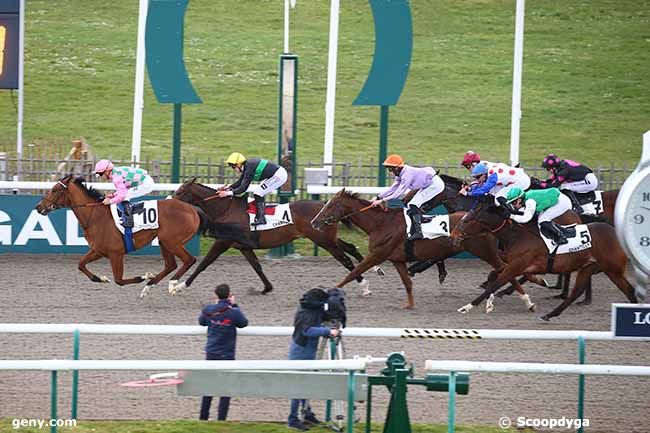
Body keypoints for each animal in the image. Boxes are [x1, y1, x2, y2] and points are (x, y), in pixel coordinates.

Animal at [34, 174, 210, 296]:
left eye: (55, 189)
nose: (38, 207)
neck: (95, 216)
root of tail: (192, 209)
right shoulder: (98, 251)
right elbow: (81, 264)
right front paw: (101, 278)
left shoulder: (115, 253)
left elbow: (118, 280)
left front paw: (142, 277)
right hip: (164, 241)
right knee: (170, 265)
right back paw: (149, 287)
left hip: (172, 241)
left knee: (189, 260)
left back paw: (172, 284)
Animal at [171, 178, 374, 294]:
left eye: (180, 192)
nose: (169, 201)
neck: (226, 210)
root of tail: (324, 206)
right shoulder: (243, 246)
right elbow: (257, 267)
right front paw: (266, 288)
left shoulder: (222, 242)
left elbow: (203, 264)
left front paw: (179, 286)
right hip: (328, 238)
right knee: (350, 248)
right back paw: (373, 269)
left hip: (323, 240)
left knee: (345, 259)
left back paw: (364, 286)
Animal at [308, 189, 536, 310]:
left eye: (329, 206)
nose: (314, 222)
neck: (380, 224)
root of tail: (486, 223)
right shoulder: (397, 259)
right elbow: (407, 282)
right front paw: (409, 305)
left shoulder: (377, 254)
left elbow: (353, 271)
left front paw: (330, 291)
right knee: (505, 270)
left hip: (485, 252)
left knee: (507, 272)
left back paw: (526, 300)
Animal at [448, 197, 636, 318]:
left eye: (466, 220)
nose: (453, 236)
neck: (517, 235)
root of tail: (617, 232)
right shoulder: (515, 264)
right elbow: (495, 275)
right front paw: (490, 302)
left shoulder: (517, 265)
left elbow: (496, 283)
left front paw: (467, 307)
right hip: (589, 268)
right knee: (577, 291)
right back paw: (551, 314)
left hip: (613, 270)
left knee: (628, 289)